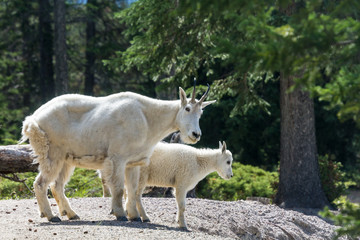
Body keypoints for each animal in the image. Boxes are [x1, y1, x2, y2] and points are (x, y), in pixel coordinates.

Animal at [19, 85, 215, 222]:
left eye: (201, 112)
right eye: (187, 109)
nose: (195, 134)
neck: (148, 119)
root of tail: (32, 120)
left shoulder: (134, 162)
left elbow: (133, 189)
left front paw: (134, 216)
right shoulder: (118, 158)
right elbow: (119, 188)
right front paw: (119, 214)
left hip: (66, 159)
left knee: (57, 186)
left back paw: (71, 214)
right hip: (52, 153)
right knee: (40, 183)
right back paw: (51, 216)